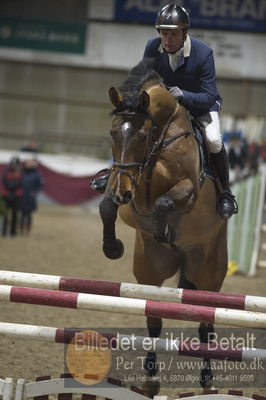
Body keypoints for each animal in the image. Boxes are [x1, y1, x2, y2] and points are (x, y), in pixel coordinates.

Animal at [98, 58, 228, 396]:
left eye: (142, 134)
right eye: (113, 133)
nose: (123, 192)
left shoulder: (188, 190)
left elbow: (163, 203)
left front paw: (163, 227)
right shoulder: (125, 186)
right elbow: (107, 206)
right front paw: (112, 247)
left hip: (208, 273)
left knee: (206, 326)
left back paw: (207, 380)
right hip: (149, 272)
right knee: (153, 321)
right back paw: (150, 377)